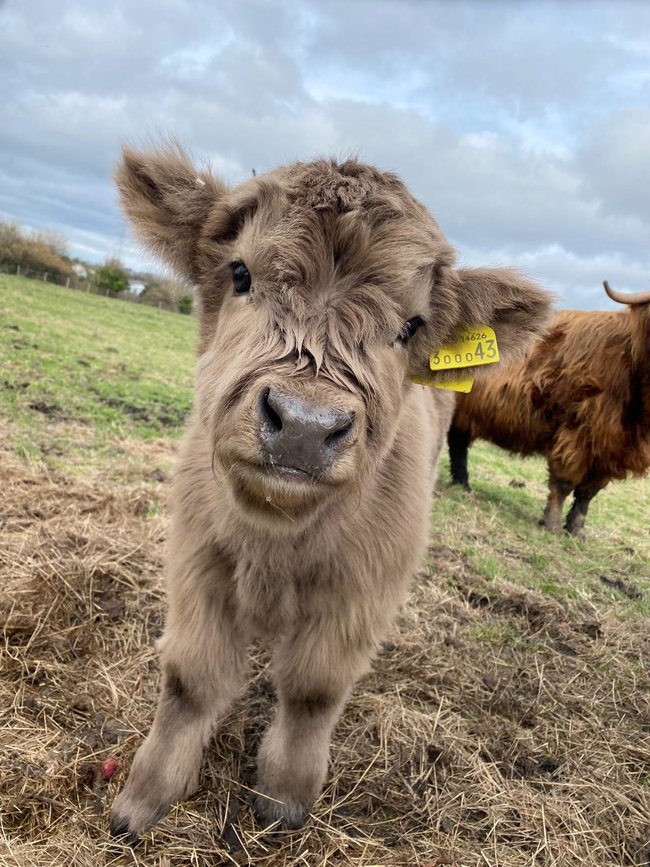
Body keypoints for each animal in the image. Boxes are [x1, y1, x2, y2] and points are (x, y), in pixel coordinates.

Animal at [109, 143, 551, 841]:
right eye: (240, 274)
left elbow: (314, 690)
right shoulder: (197, 560)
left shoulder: (362, 591)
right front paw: (144, 798)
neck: (276, 539)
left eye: (410, 327)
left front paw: (285, 798)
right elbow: (191, 680)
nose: (304, 425)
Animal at [448, 281, 650, 538]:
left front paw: (576, 532)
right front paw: (552, 525)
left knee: (458, 443)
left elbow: (588, 494)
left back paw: (462, 485)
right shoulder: (575, 433)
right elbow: (564, 483)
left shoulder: (610, 447)